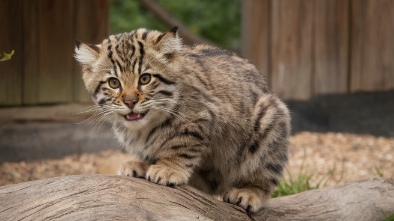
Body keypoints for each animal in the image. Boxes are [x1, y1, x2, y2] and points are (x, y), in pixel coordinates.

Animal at [74, 26, 290, 213]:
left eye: (145, 78)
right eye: (113, 83)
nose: (130, 101)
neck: (145, 126)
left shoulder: (199, 118)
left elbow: (181, 145)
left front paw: (168, 168)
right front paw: (142, 164)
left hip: (271, 120)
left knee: (264, 175)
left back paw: (248, 192)